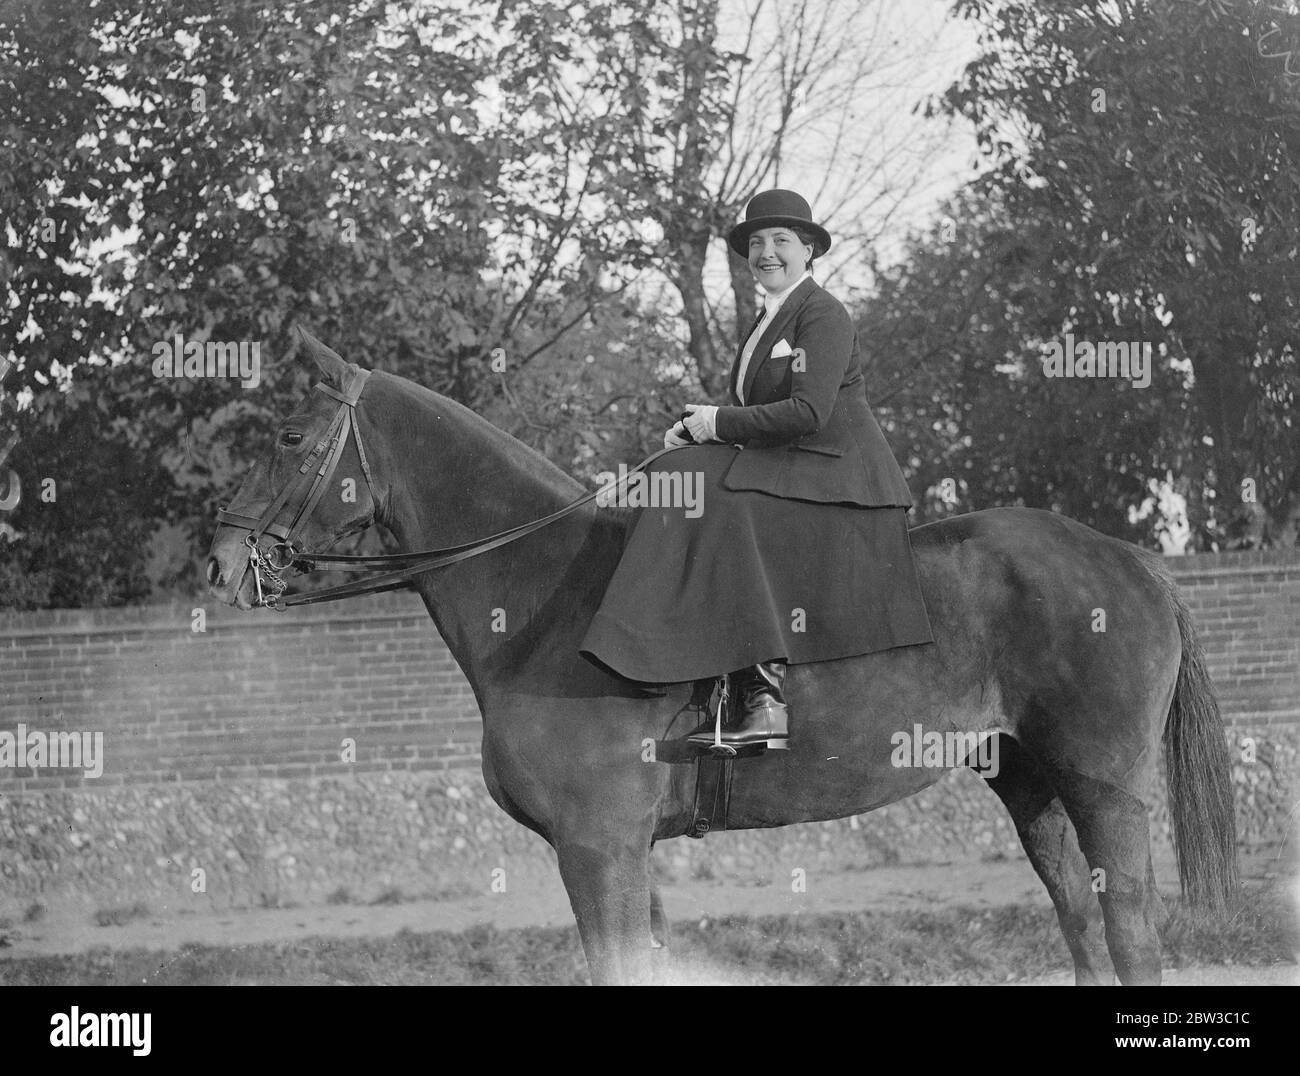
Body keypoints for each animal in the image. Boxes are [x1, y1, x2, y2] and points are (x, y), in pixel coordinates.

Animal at [202, 335, 1237, 982]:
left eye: (288, 437)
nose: (217, 563)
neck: (543, 594)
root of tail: (1130, 558)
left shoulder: (599, 847)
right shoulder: (623, 851)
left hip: (1103, 788)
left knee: (1131, 931)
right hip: (1029, 784)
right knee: (1083, 925)